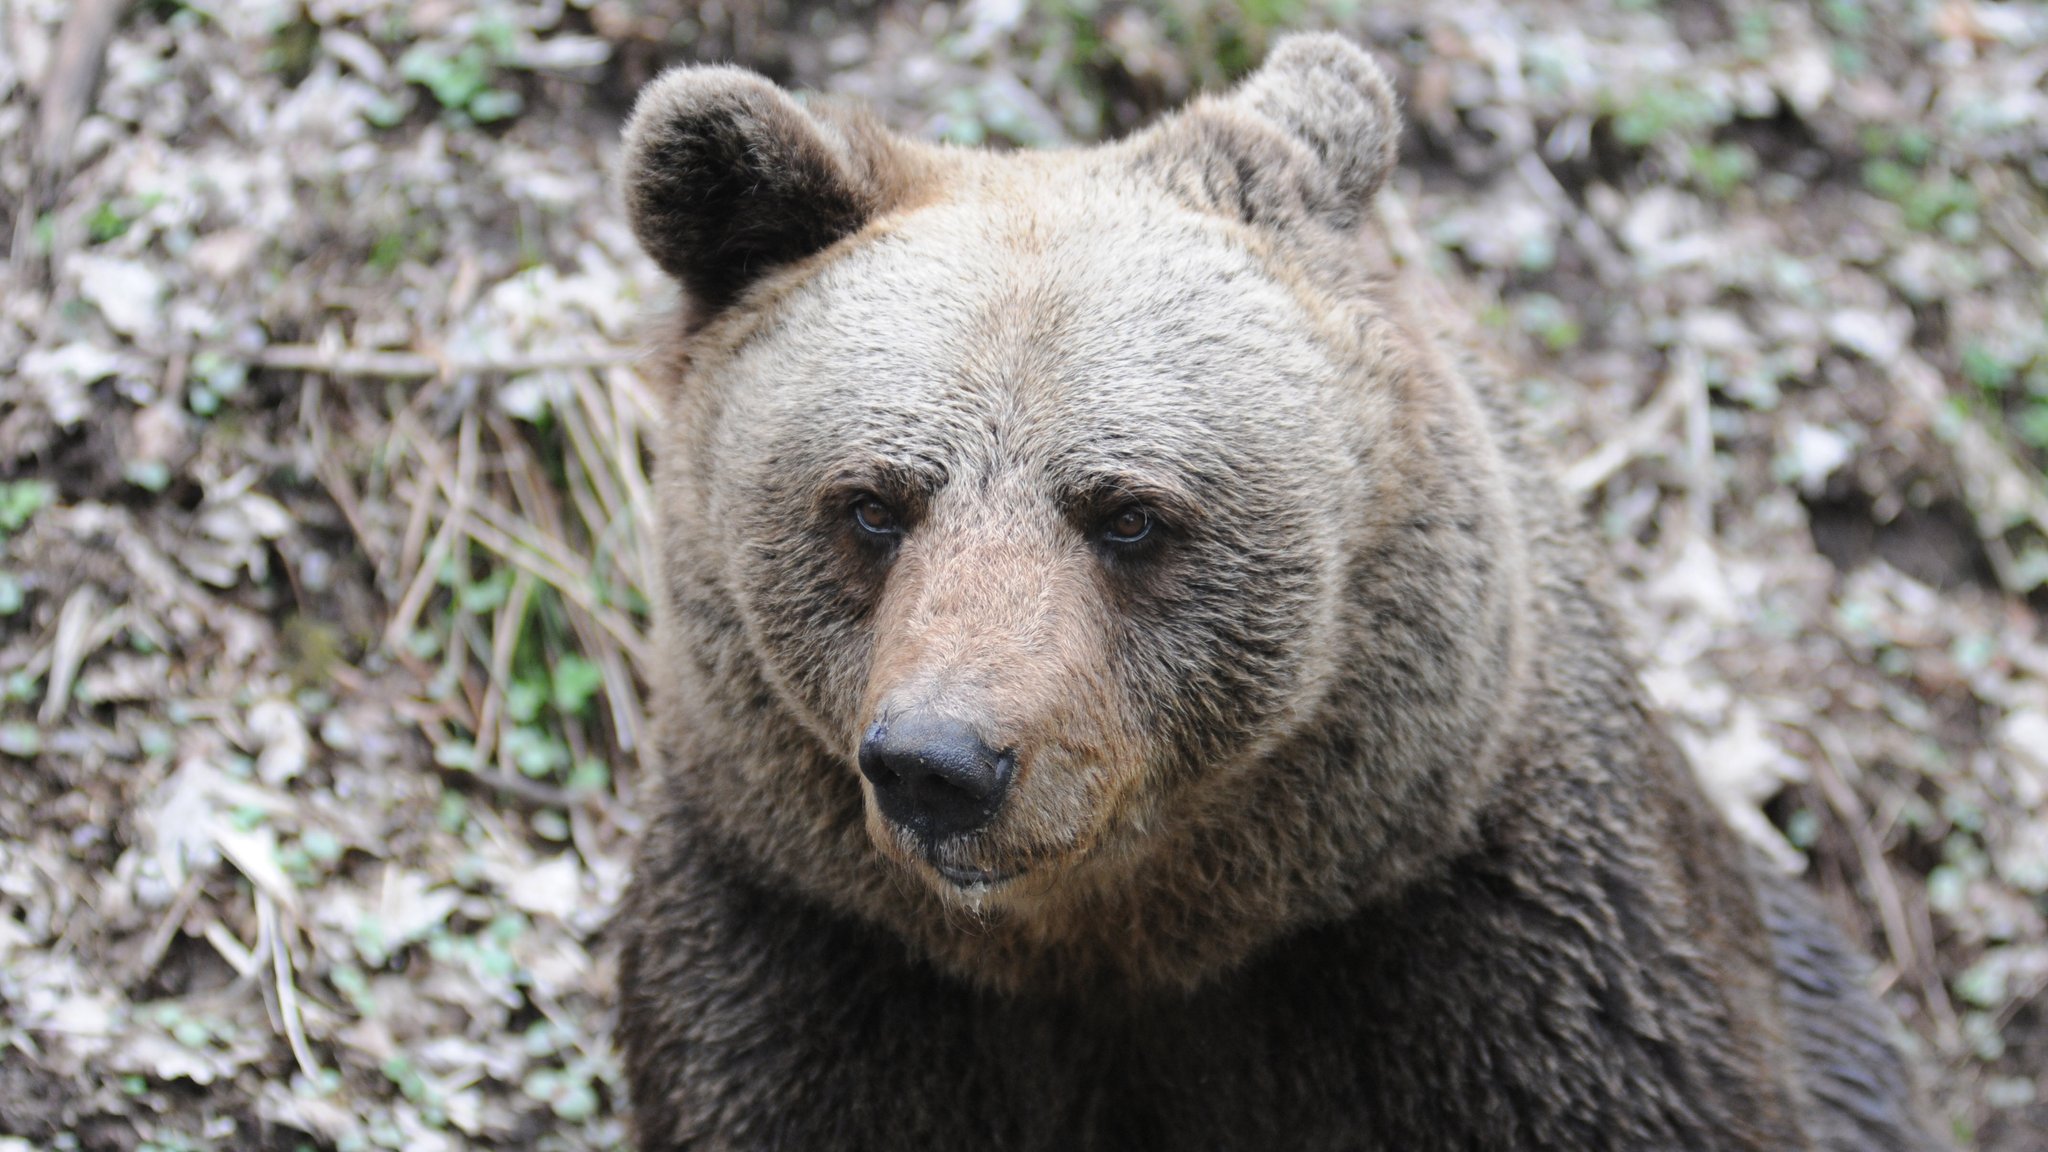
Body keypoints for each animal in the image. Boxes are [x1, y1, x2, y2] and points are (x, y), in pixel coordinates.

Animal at [614, 31, 1941, 1139]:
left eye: (1129, 515)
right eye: (873, 503)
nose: (940, 764)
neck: (1114, 945)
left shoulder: (1497, 958)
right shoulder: (813, 952)